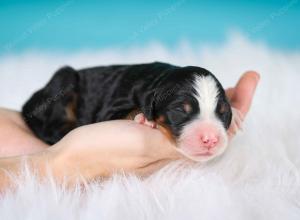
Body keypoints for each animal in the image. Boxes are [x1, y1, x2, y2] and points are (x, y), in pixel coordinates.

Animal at [21, 62, 241, 162]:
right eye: (180, 110)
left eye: (222, 113)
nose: (211, 139)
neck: (158, 80)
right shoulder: (110, 109)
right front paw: (141, 116)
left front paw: (237, 116)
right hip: (64, 80)